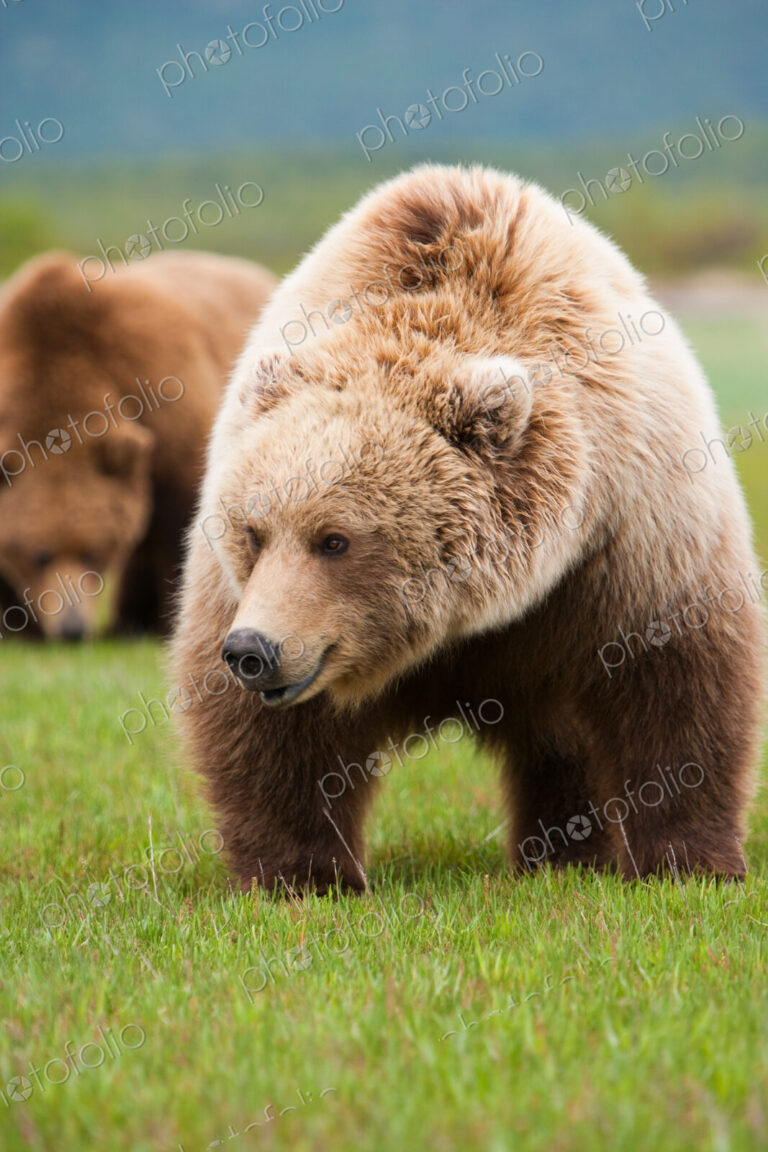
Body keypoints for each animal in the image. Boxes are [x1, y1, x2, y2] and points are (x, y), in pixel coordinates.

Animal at [170, 163, 765, 894]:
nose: (254, 650)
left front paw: (689, 862)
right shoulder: (249, 598)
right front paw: (300, 873)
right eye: (254, 532)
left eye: (335, 538)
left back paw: (564, 854)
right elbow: (277, 740)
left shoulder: (629, 542)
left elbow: (676, 686)